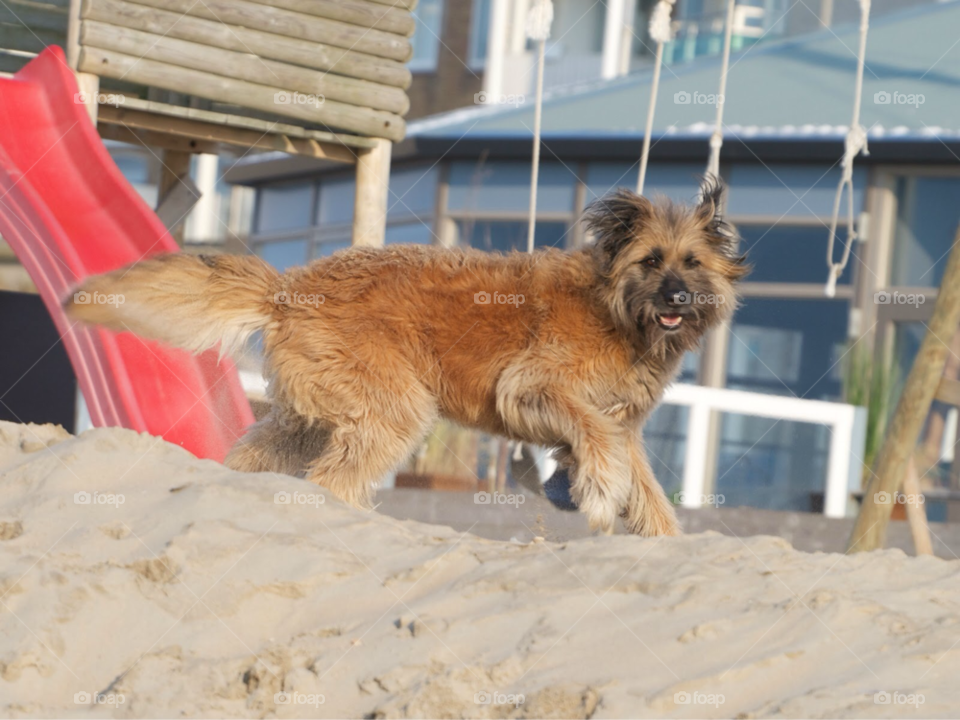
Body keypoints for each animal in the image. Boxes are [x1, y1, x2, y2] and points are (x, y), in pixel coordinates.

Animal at [63, 179, 748, 536]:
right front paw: (601, 492)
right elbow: (597, 441)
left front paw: (662, 543)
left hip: (307, 414)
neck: (616, 307)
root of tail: (288, 288)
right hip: (392, 404)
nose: (679, 298)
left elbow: (647, 487)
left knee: (259, 459)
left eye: (692, 262)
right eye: (651, 261)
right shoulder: (535, 386)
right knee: (332, 480)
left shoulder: (623, 423)